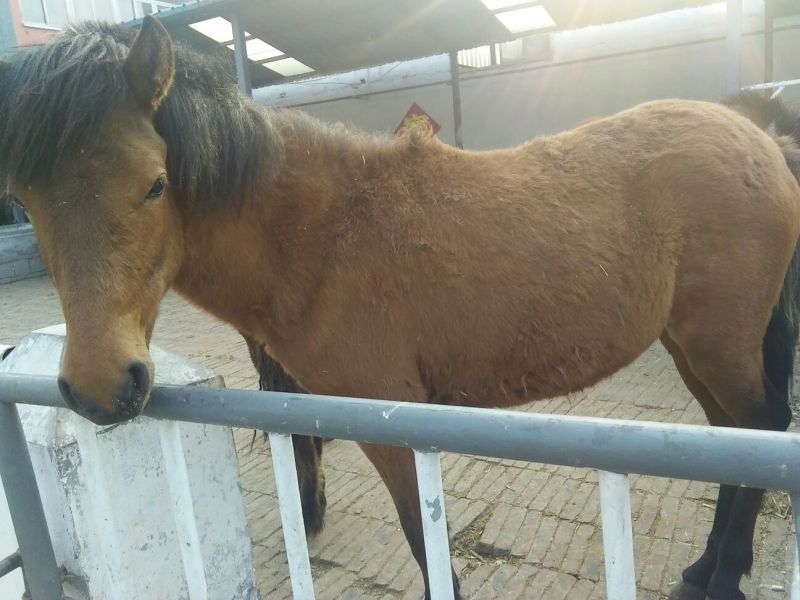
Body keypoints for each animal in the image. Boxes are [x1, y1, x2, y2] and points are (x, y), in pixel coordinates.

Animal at [1, 17, 799, 600]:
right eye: (26, 201)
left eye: (155, 183)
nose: (100, 386)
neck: (321, 235)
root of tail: (760, 139)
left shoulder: (394, 423)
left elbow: (427, 545)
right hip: (691, 346)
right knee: (734, 438)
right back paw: (704, 569)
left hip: (718, 345)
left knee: (759, 427)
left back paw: (724, 578)